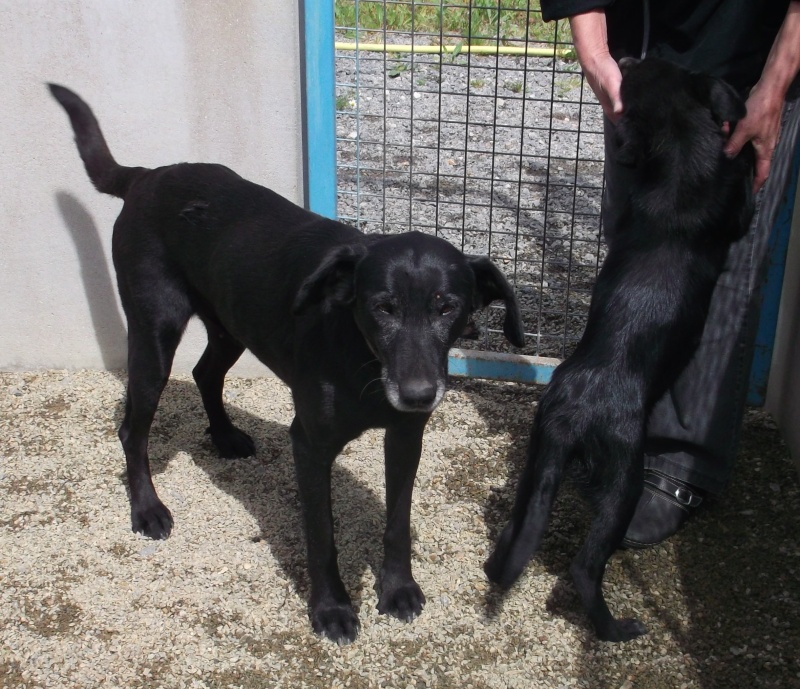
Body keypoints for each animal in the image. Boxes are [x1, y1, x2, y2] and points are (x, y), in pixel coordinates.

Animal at [50, 83, 524, 644]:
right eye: (382, 307)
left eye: (447, 307)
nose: (417, 394)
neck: (362, 357)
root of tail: (147, 176)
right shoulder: (311, 444)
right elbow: (321, 534)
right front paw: (332, 609)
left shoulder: (406, 436)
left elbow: (397, 521)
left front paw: (398, 588)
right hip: (154, 334)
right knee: (133, 428)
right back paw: (147, 509)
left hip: (231, 322)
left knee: (205, 372)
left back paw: (225, 436)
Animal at [482, 56, 756, 644]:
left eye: (651, 65)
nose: (625, 59)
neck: (681, 153)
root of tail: (575, 407)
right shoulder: (736, 211)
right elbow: (745, 185)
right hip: (621, 480)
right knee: (586, 567)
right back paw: (616, 627)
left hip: (538, 462)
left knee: (516, 532)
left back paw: (498, 568)